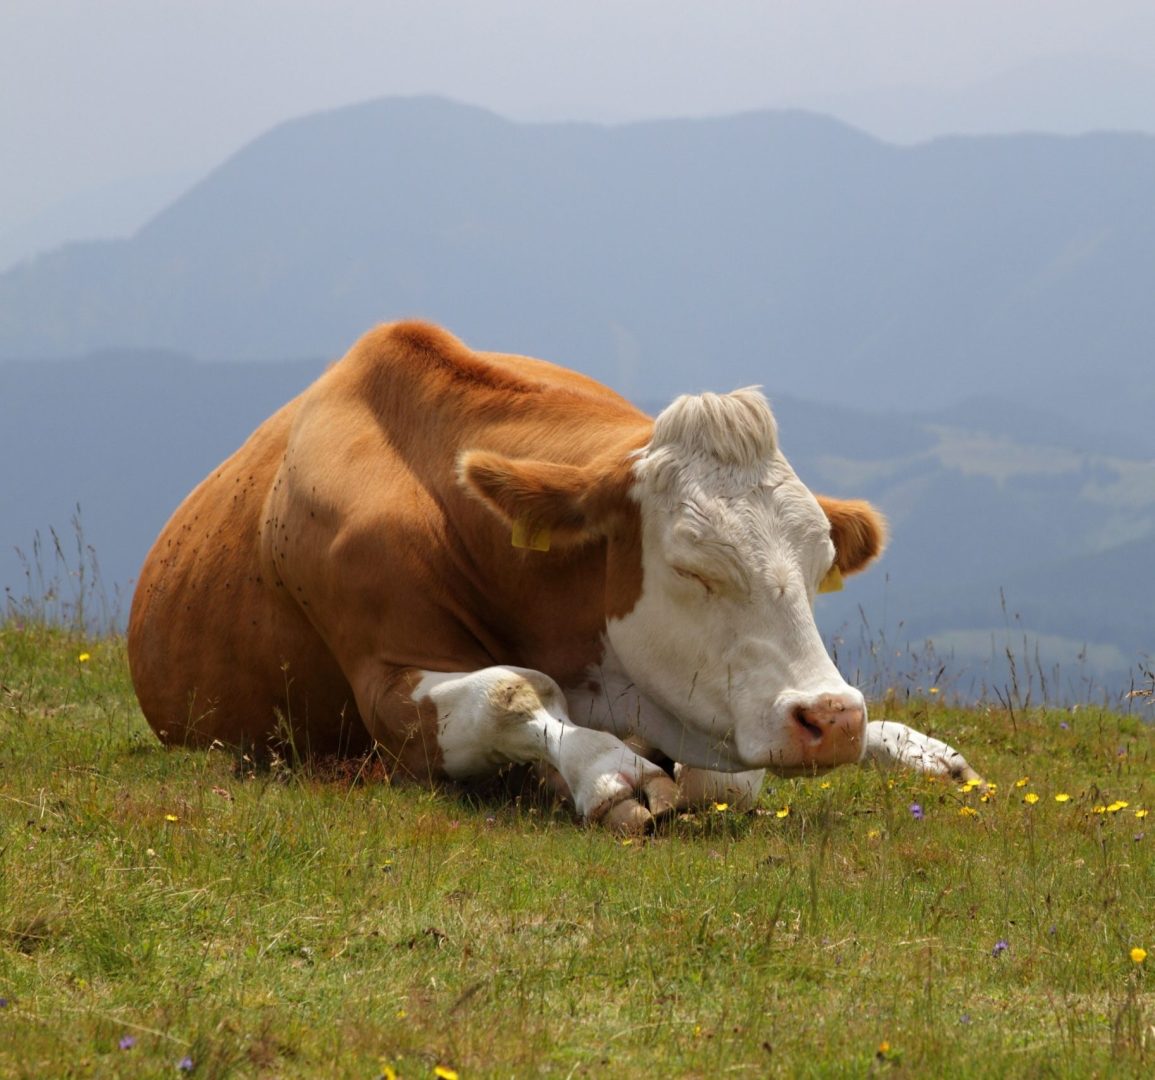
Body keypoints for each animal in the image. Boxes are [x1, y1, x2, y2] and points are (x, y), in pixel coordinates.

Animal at [128, 321, 980, 831]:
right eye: (690, 566)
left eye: (817, 565)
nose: (831, 719)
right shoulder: (385, 690)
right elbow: (515, 688)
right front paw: (609, 774)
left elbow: (724, 776)